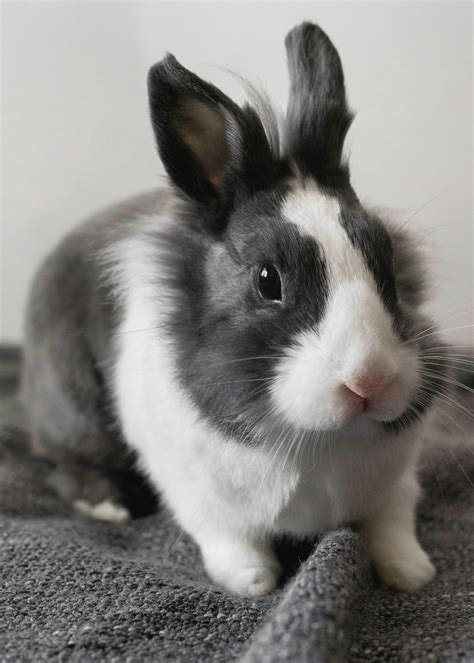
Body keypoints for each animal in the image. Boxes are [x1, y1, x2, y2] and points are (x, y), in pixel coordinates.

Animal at [21, 24, 452, 596]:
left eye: (388, 260)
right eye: (268, 280)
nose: (369, 381)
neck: (320, 440)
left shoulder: (397, 482)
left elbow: (393, 522)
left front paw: (412, 572)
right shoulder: (198, 494)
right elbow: (231, 539)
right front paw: (254, 582)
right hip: (72, 411)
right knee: (61, 462)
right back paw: (110, 505)